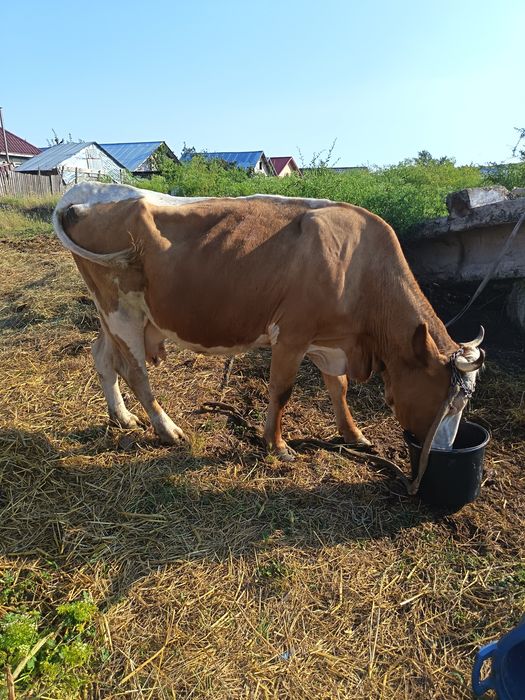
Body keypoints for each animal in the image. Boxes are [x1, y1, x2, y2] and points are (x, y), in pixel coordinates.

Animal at [53, 183, 484, 461]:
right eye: (446, 401)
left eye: (465, 402)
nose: (442, 451)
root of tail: (81, 196)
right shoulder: (292, 335)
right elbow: (281, 391)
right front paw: (277, 446)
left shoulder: (329, 341)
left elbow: (339, 388)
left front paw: (354, 435)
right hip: (121, 309)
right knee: (135, 371)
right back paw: (167, 429)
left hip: (111, 312)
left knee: (102, 356)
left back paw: (122, 417)